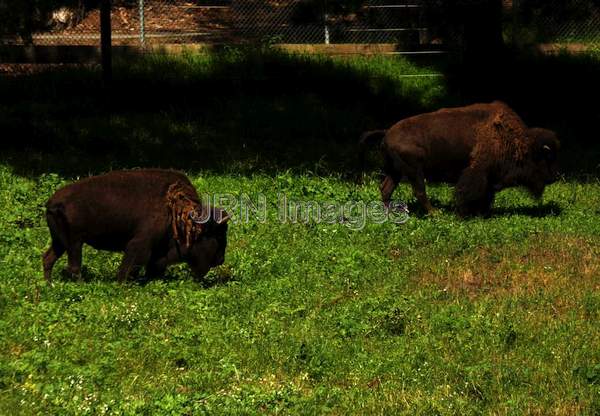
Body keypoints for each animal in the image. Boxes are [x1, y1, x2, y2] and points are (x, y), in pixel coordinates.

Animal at [42, 167, 230, 284]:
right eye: (219, 235)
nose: (221, 260)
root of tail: (52, 202)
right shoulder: (140, 244)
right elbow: (130, 266)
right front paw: (122, 283)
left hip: (60, 242)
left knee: (48, 258)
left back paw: (49, 284)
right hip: (74, 243)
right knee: (73, 266)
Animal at [358, 102, 560, 216]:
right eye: (544, 158)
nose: (553, 177)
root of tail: (387, 132)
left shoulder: (489, 177)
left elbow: (488, 194)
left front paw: (482, 212)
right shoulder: (477, 172)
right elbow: (468, 191)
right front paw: (465, 213)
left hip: (395, 172)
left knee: (386, 188)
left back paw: (388, 213)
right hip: (414, 171)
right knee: (419, 191)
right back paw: (435, 213)